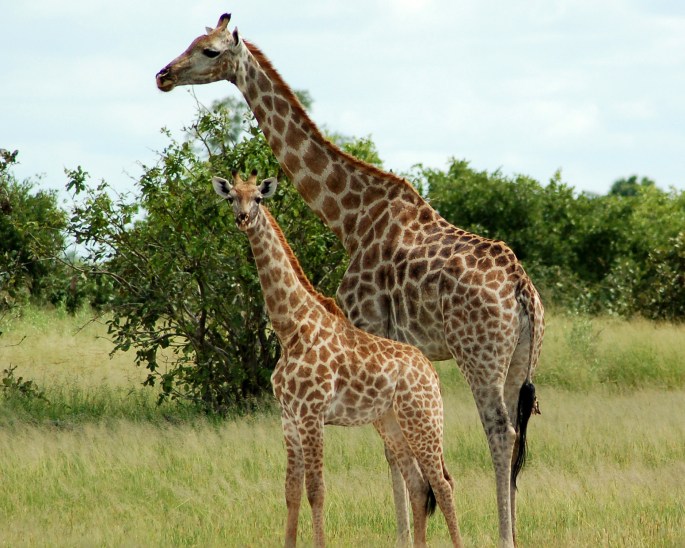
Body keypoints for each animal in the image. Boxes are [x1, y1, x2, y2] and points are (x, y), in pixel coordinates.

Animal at [212, 170, 463, 548]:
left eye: (257, 198)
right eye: (231, 198)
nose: (242, 218)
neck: (291, 329)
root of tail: (430, 371)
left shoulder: (312, 414)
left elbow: (316, 491)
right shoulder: (288, 418)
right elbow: (291, 492)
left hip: (424, 419)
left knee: (443, 485)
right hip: (391, 422)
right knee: (419, 485)